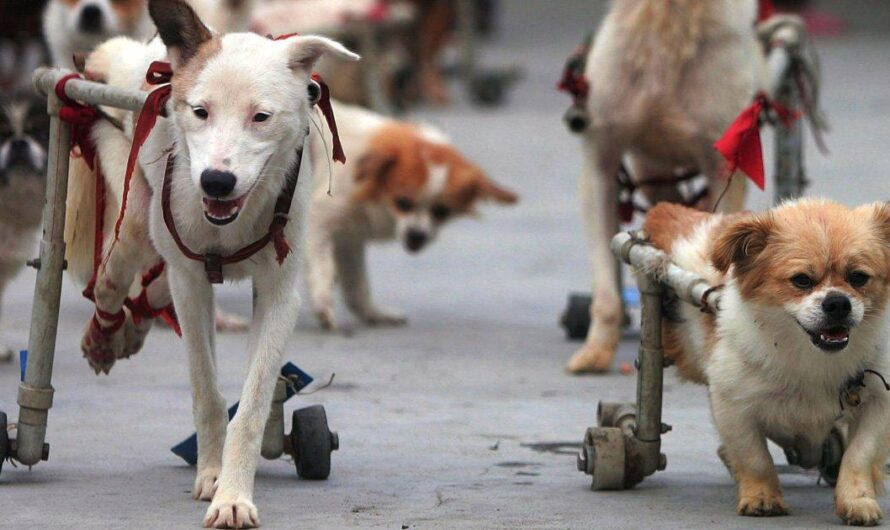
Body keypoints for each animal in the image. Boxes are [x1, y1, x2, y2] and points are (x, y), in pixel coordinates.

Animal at [62, 0, 358, 524]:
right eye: (200, 111)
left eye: (261, 116)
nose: (216, 181)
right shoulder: (192, 285)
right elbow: (207, 392)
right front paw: (213, 476)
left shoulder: (279, 296)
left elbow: (254, 406)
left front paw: (233, 496)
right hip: (137, 219)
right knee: (113, 278)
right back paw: (105, 334)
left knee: (151, 287)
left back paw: (132, 328)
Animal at [306, 101, 516, 328]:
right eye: (402, 203)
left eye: (442, 211)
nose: (417, 236)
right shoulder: (318, 222)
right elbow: (323, 268)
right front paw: (323, 303)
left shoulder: (348, 238)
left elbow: (357, 285)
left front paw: (372, 314)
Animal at [568, 0, 764, 372]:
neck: (669, 18)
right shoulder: (599, 160)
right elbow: (605, 284)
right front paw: (595, 351)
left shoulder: (724, 166)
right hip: (650, 174)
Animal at [640, 199, 888, 524]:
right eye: (801, 281)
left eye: (858, 277)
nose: (837, 302)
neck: (809, 355)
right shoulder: (732, 406)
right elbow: (755, 457)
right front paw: (762, 497)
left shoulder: (877, 402)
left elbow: (859, 455)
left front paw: (857, 501)